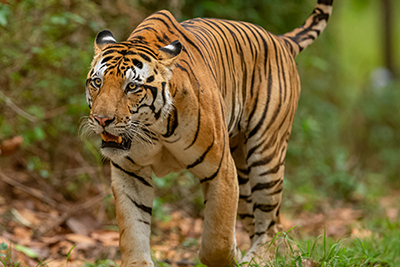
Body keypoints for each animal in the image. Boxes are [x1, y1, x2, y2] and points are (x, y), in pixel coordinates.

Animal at [83, 1, 332, 266]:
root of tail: (280, 40)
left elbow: (217, 240)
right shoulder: (129, 172)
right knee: (266, 222)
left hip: (265, 156)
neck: (154, 129)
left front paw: (231, 256)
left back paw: (259, 258)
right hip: (244, 174)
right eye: (97, 82)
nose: (102, 119)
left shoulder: (221, 170)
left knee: (268, 221)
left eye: (131, 86)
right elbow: (133, 231)